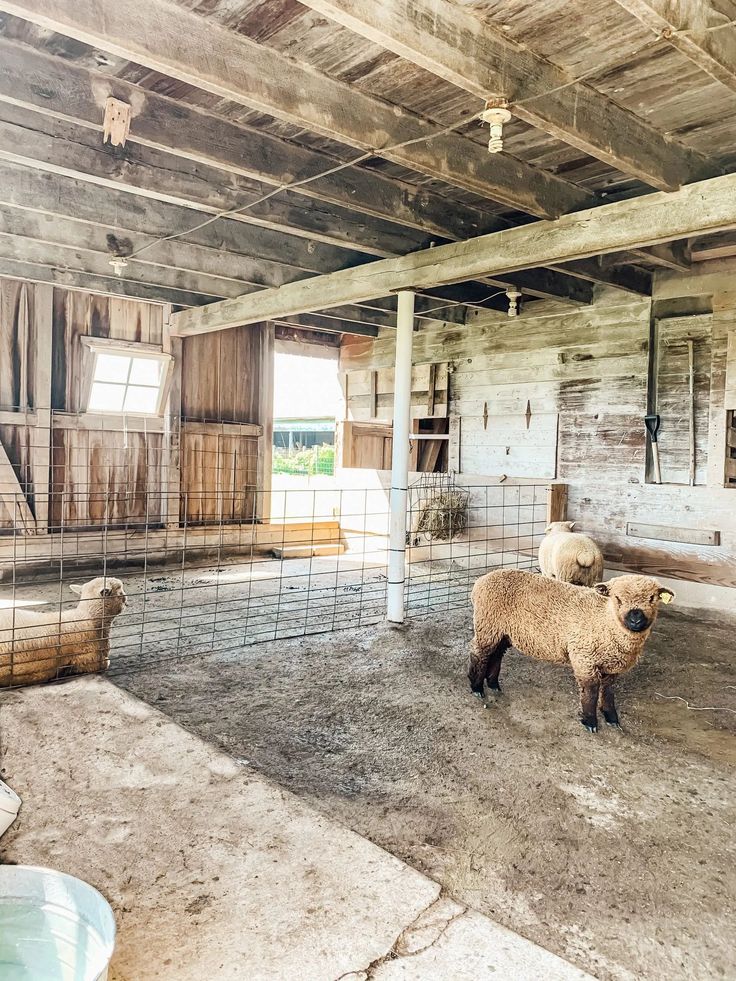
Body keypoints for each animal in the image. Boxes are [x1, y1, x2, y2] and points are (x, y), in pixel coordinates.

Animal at [472, 568, 672, 736]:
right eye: (617, 598)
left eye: (652, 598)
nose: (636, 619)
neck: (605, 620)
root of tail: (480, 581)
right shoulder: (584, 657)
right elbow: (591, 691)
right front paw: (590, 722)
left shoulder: (611, 665)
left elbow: (608, 691)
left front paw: (612, 718)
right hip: (487, 624)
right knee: (479, 653)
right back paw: (476, 687)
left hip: (502, 632)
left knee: (496, 654)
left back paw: (493, 684)